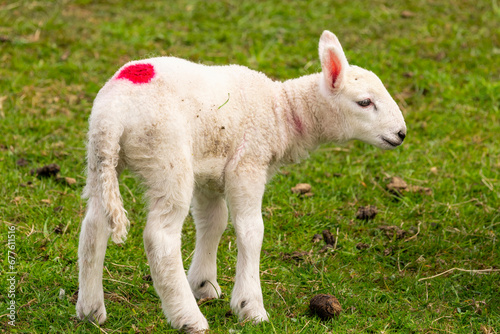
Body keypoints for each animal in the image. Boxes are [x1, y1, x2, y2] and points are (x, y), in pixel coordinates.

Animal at [75, 30, 406, 332]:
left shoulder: (210, 172)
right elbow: (251, 231)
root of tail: (114, 114)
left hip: (100, 157)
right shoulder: (247, 165)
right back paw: (188, 317)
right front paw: (250, 307)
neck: (282, 112)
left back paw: (91, 310)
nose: (401, 134)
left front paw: (204, 284)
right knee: (160, 235)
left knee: (94, 225)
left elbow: (214, 222)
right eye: (365, 102)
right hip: (167, 157)